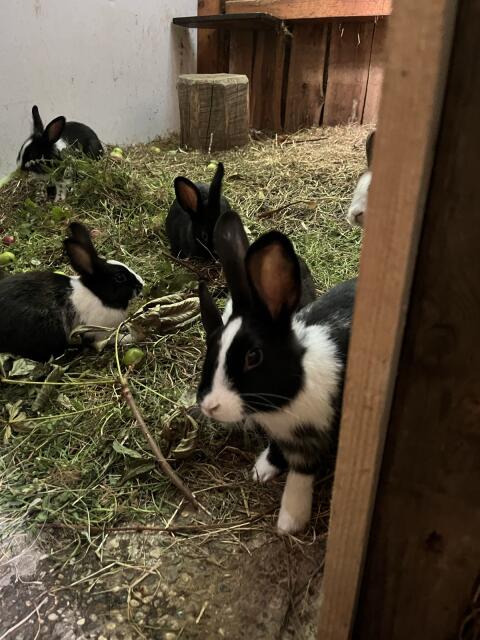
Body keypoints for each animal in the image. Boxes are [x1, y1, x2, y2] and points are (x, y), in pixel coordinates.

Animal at [0, 222, 143, 362]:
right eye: (120, 277)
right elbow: (112, 339)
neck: (97, 295)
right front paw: (131, 337)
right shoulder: (98, 333)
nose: (141, 284)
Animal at [197, 210, 356, 534]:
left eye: (253, 357)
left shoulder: (315, 435)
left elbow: (302, 472)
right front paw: (262, 470)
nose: (209, 407)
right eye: (212, 349)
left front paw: (290, 520)